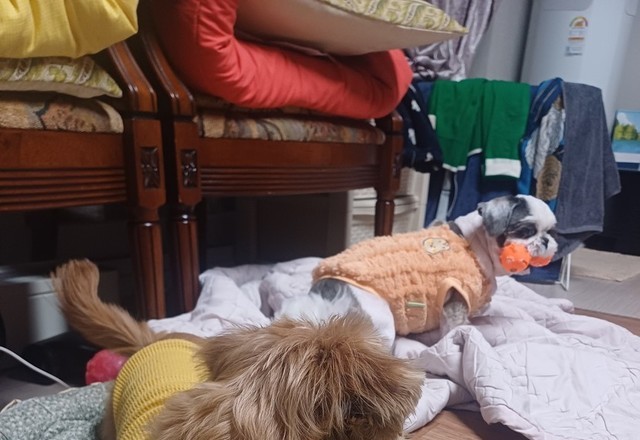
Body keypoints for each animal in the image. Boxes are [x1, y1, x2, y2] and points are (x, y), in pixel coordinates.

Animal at [279, 194, 558, 339]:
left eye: (550, 232)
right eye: (525, 231)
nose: (545, 241)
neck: (474, 244)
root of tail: (323, 299)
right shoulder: (455, 298)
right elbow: (455, 328)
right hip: (380, 320)